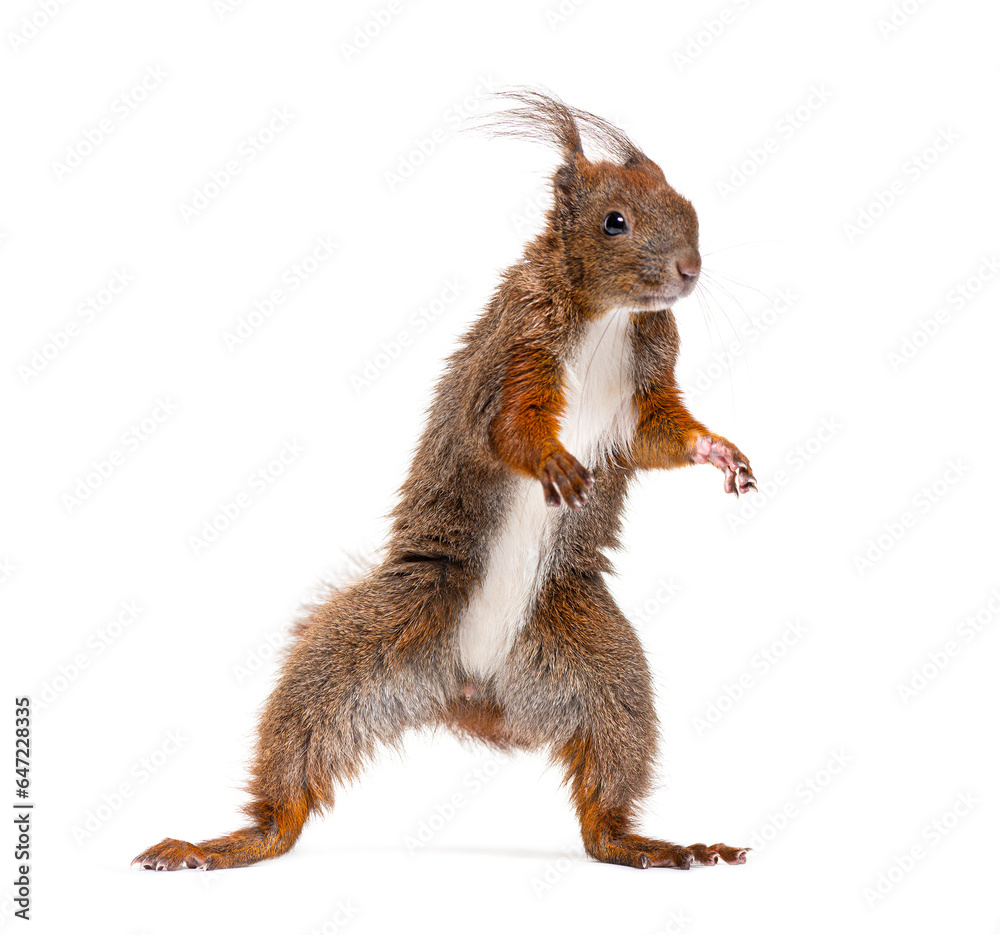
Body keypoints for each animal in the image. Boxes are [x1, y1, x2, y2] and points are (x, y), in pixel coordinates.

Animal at [134, 88, 757, 872]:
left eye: (687, 203)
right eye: (615, 220)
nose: (688, 268)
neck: (609, 319)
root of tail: (472, 687)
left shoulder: (645, 385)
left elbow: (661, 436)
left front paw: (722, 452)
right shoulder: (517, 351)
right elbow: (510, 430)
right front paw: (553, 463)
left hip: (603, 671)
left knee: (607, 793)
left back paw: (652, 845)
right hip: (366, 642)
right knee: (291, 770)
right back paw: (224, 843)